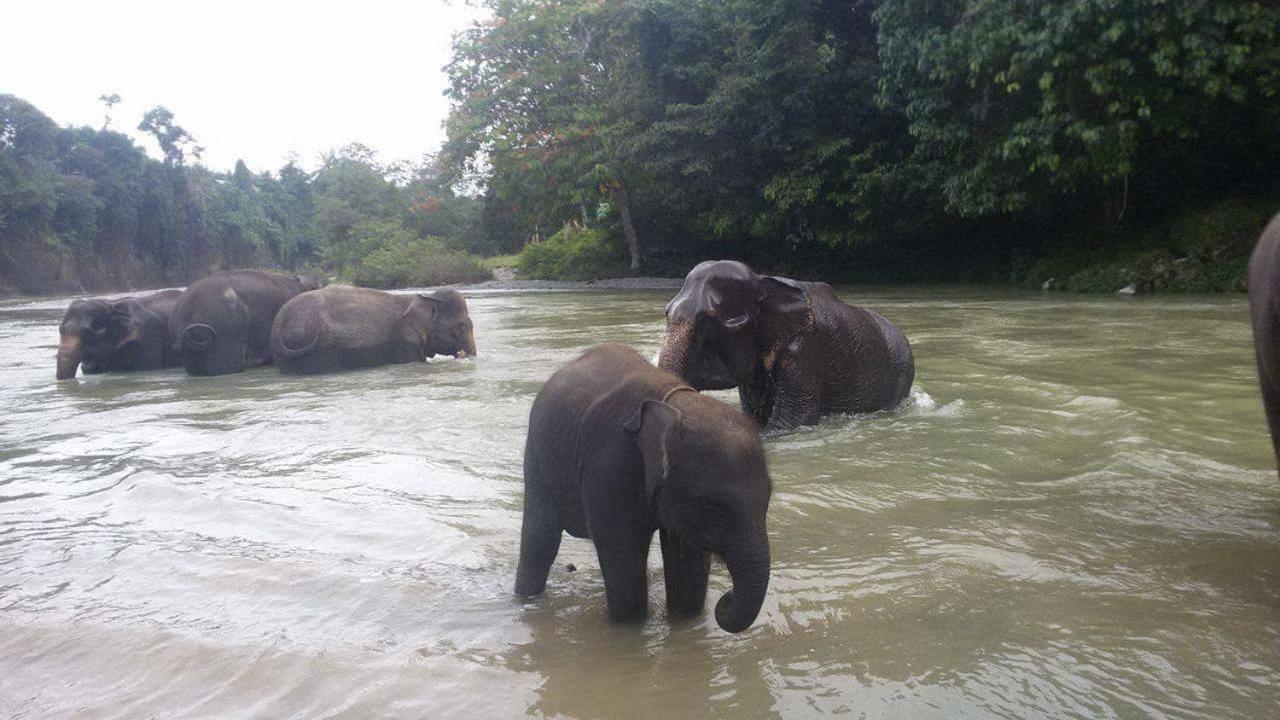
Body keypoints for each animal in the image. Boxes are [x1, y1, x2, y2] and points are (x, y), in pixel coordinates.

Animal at [270, 283, 476, 371]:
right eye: (460, 326)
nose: (462, 354)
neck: (423, 298)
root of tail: (280, 321)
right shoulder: (406, 341)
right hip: (321, 349)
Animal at [514, 338, 773, 630]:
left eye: (768, 498)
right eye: (713, 507)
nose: (725, 599)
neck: (677, 407)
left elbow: (686, 560)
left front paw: (684, 621)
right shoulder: (608, 466)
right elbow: (623, 557)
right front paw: (629, 628)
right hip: (537, 453)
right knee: (541, 538)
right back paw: (526, 599)